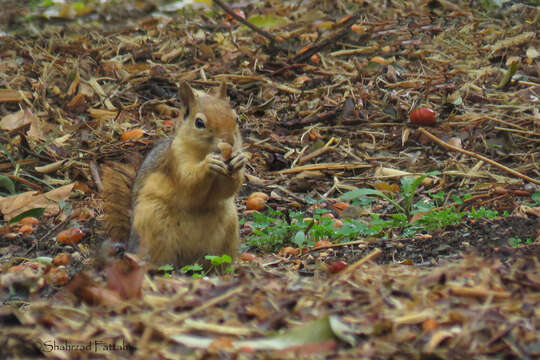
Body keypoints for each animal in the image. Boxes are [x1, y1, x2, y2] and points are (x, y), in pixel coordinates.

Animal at [100, 81, 246, 268]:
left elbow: (227, 190)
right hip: (154, 225)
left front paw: (239, 161)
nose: (230, 142)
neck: (202, 152)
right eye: (199, 123)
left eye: (236, 118)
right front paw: (208, 164)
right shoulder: (176, 159)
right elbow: (189, 183)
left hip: (228, 231)